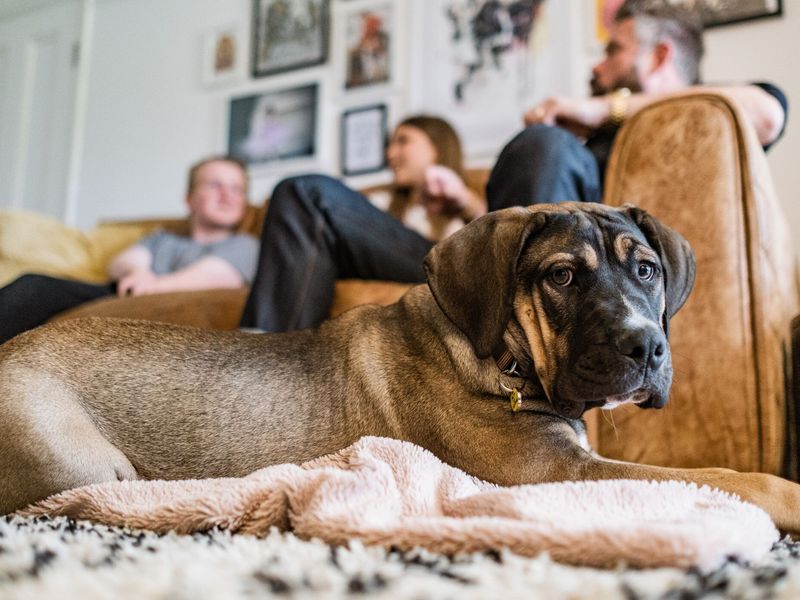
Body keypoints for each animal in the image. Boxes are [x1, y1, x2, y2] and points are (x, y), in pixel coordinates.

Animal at [1, 205, 800, 528]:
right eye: (562, 277)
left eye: (647, 271)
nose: (647, 348)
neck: (503, 356)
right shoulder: (553, 474)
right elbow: (729, 476)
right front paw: (785, 493)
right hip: (83, 464)